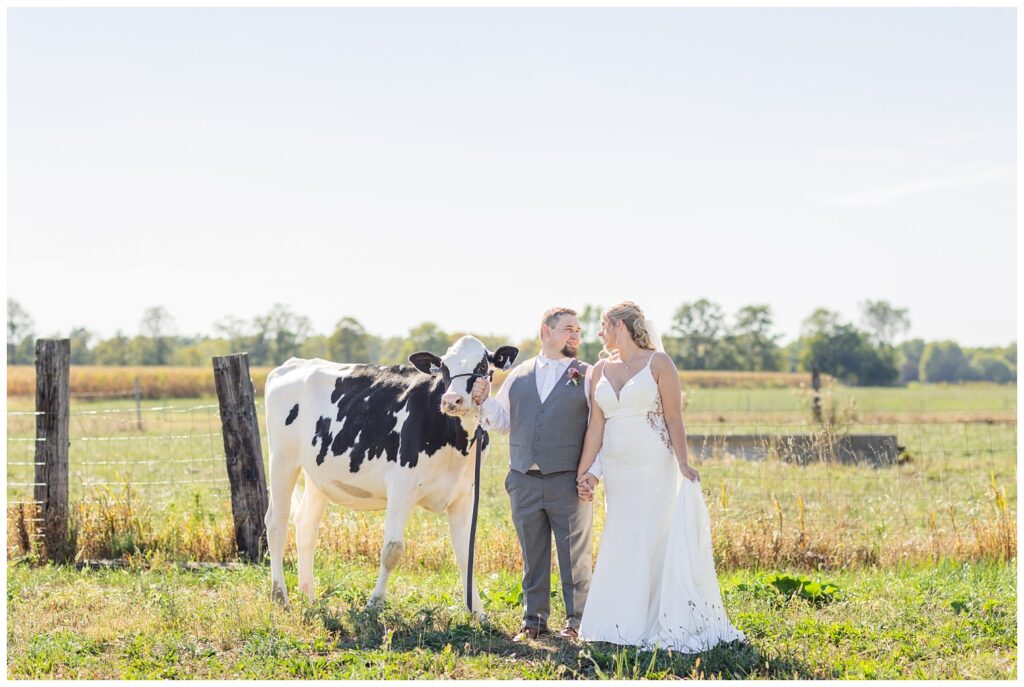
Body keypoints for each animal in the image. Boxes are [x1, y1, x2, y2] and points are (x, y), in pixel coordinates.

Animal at [264, 335, 520, 614]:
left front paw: (477, 611)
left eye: (482, 366)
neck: (456, 441)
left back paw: (308, 594)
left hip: (317, 473)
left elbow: (465, 552)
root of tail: (293, 363)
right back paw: (280, 595)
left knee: (306, 525)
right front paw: (375, 603)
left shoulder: (464, 493)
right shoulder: (401, 486)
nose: (452, 400)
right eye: (444, 367)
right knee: (276, 523)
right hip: (282, 459)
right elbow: (392, 550)